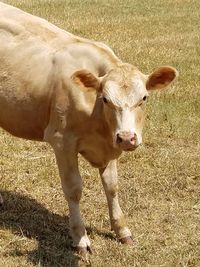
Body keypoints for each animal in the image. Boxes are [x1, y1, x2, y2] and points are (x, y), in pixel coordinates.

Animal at [0, 1, 178, 253]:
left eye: (144, 98)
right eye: (105, 99)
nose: (127, 138)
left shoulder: (110, 142)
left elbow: (112, 186)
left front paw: (122, 230)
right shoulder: (62, 141)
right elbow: (73, 189)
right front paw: (80, 238)